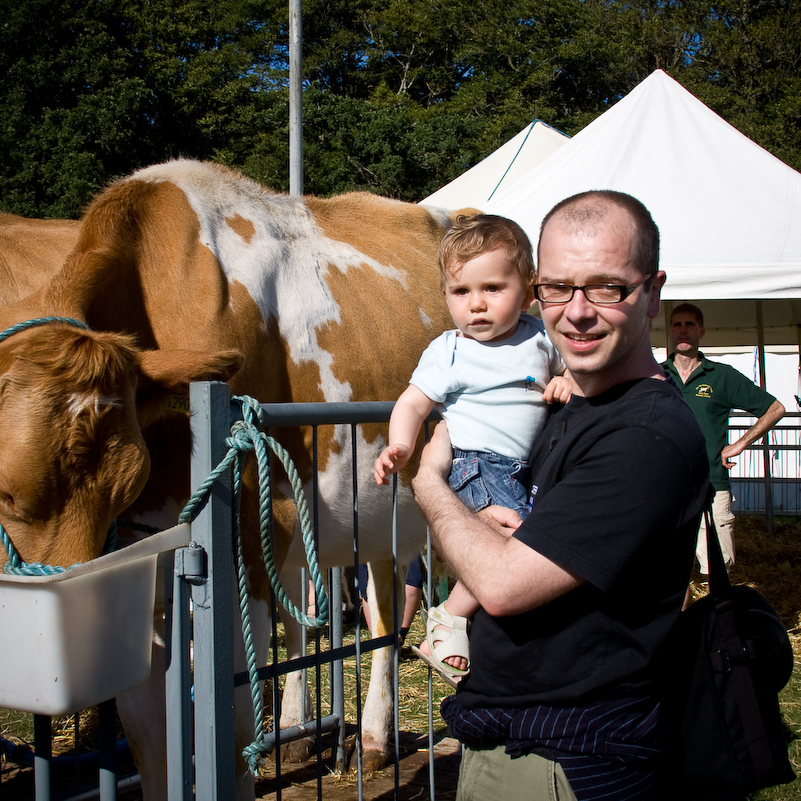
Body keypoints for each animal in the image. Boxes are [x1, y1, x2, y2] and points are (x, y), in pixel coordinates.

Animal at [0, 161, 468, 800]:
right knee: (381, 608)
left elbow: (237, 713)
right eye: (8, 494)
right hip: (377, 507)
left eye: (124, 483)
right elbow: (148, 732)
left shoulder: (247, 535)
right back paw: (367, 738)